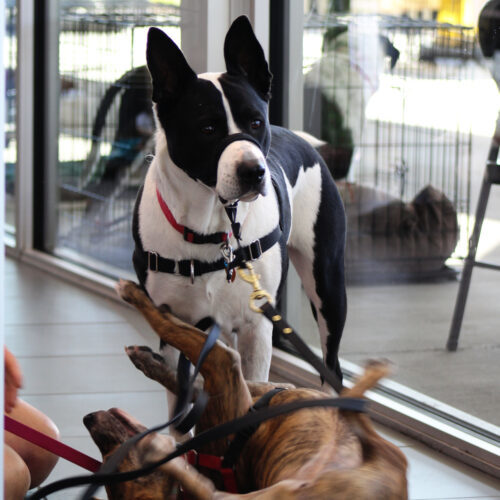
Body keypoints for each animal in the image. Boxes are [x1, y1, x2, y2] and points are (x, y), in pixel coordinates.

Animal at [83, 280, 406, 498]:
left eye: (115, 466)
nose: (87, 418)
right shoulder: (234, 380)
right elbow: (194, 361)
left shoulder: (239, 382)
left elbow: (189, 361)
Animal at [131, 14, 346, 382]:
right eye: (207, 128)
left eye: (256, 122)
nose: (254, 171)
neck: (209, 229)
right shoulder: (173, 324)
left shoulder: (257, 327)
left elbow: (254, 389)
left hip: (328, 284)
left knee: (332, 368)